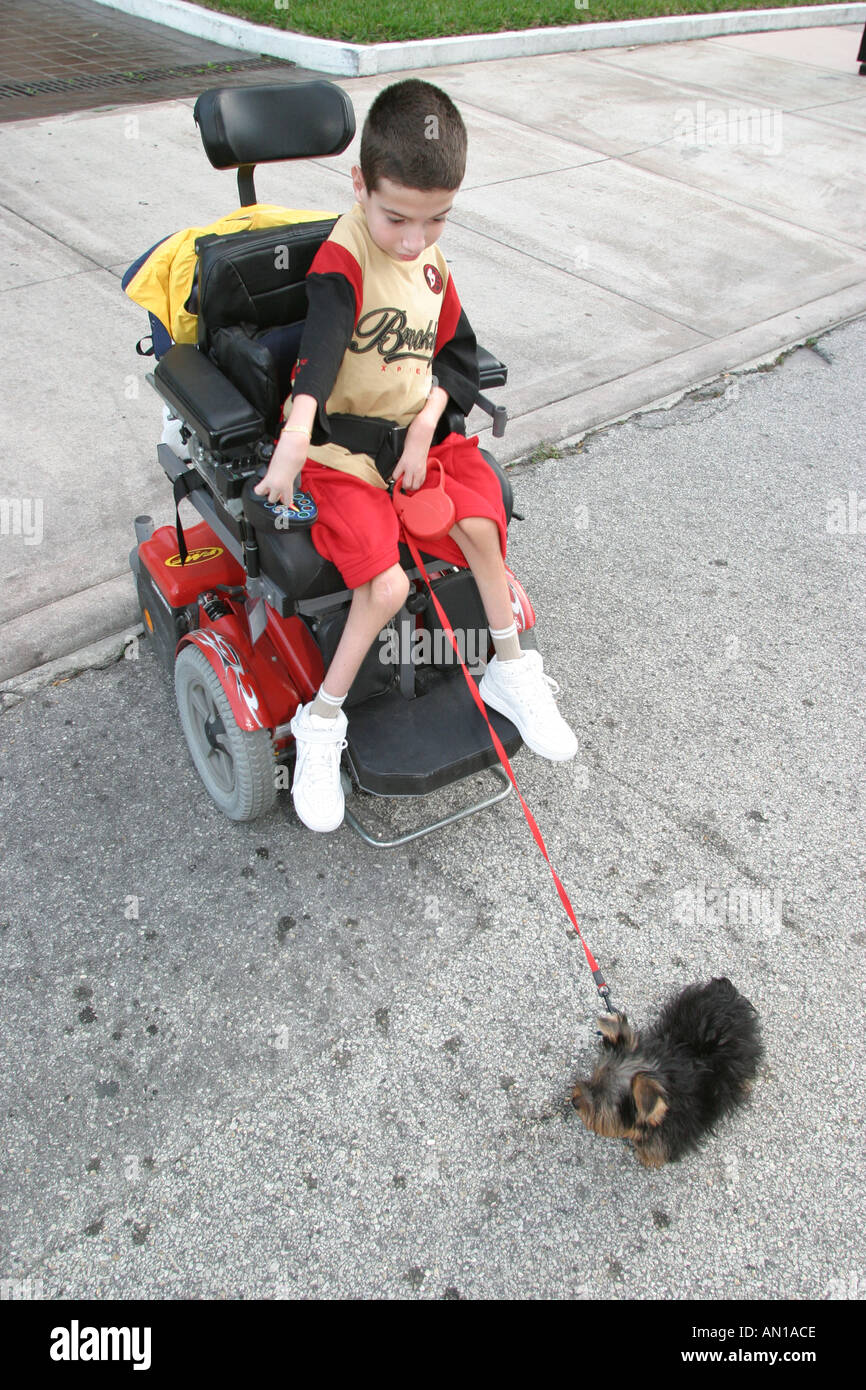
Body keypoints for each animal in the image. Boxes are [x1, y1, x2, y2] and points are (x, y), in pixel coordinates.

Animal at [572, 984, 761, 1167]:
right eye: (593, 1079)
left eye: (601, 1102)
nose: (574, 1101)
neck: (660, 1074)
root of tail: (726, 992)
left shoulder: (677, 1126)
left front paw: (648, 1157)